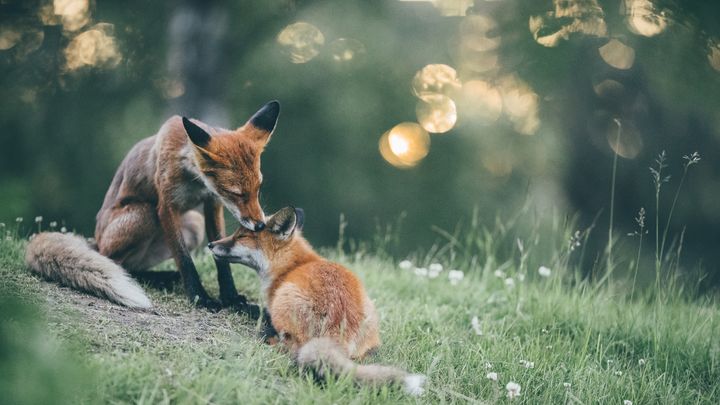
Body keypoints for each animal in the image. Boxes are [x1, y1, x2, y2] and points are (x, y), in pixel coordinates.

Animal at [25, 101, 280, 312]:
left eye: (258, 188)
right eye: (236, 193)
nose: (260, 225)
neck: (193, 179)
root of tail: (96, 241)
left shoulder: (211, 204)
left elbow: (221, 259)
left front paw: (231, 298)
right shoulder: (166, 207)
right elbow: (184, 259)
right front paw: (200, 298)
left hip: (193, 223)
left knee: (133, 266)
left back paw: (164, 277)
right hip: (143, 214)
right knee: (115, 262)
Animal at [208, 208, 428, 394]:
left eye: (241, 236)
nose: (210, 244)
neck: (291, 267)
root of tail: (337, 331)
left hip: (285, 302)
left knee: (293, 348)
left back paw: (269, 338)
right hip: (371, 312)